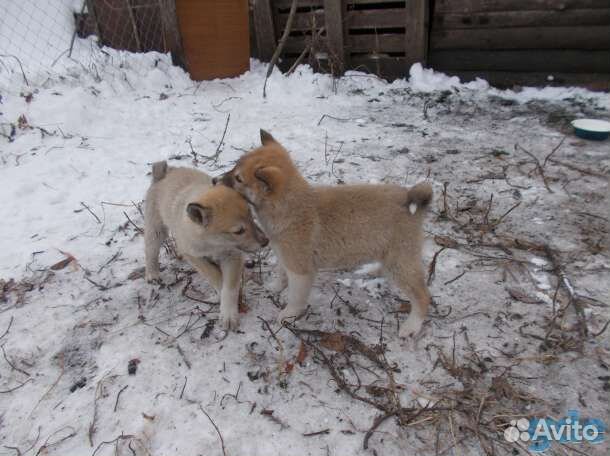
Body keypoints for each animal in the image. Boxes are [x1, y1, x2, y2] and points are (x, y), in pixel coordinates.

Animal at [144, 162, 268, 330]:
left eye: (251, 217)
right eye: (238, 231)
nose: (266, 241)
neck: (213, 243)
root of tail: (164, 172)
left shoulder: (232, 256)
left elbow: (229, 287)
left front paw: (229, 313)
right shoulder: (194, 256)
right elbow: (215, 277)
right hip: (156, 230)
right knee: (150, 250)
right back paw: (152, 274)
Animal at [215, 131, 432, 338]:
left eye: (239, 179)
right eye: (235, 167)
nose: (215, 180)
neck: (288, 206)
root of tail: (408, 199)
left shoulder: (301, 271)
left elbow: (295, 298)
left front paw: (289, 314)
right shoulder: (286, 257)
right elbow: (281, 274)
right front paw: (275, 287)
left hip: (400, 261)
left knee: (423, 297)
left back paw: (412, 326)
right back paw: (373, 270)